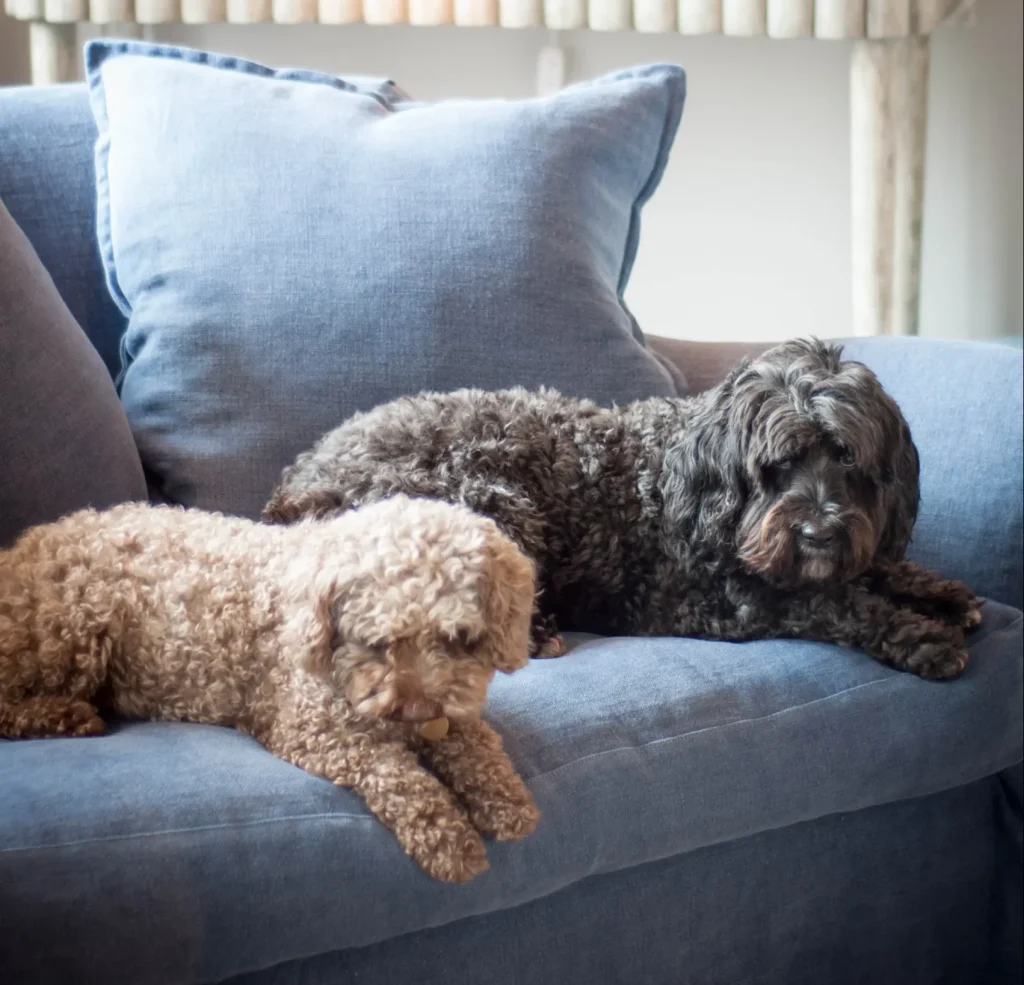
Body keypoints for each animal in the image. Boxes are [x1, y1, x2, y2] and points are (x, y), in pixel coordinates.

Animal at [0, 497, 539, 883]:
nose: (417, 710)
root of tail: (18, 550)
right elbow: (396, 773)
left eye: (458, 638)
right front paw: (449, 837)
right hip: (73, 629)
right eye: (376, 642)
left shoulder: (451, 714)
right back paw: (67, 715)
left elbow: (478, 745)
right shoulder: (313, 731)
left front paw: (507, 800)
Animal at [264, 339, 980, 680]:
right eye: (777, 466)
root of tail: (293, 487)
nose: (820, 532)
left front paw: (941, 594)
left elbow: (873, 572)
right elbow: (836, 603)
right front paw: (922, 636)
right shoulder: (721, 605)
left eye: (849, 461)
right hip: (487, 494)